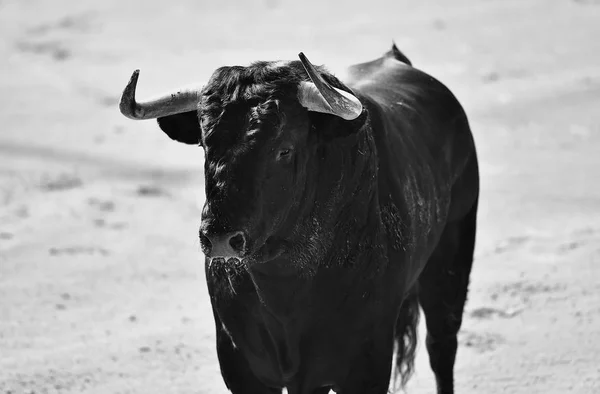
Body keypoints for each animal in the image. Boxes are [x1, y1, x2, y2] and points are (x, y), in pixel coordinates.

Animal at [119, 43, 480, 394]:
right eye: (205, 145)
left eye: (284, 149)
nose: (220, 238)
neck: (285, 285)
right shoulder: (241, 366)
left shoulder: (368, 366)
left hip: (451, 257)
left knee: (441, 345)